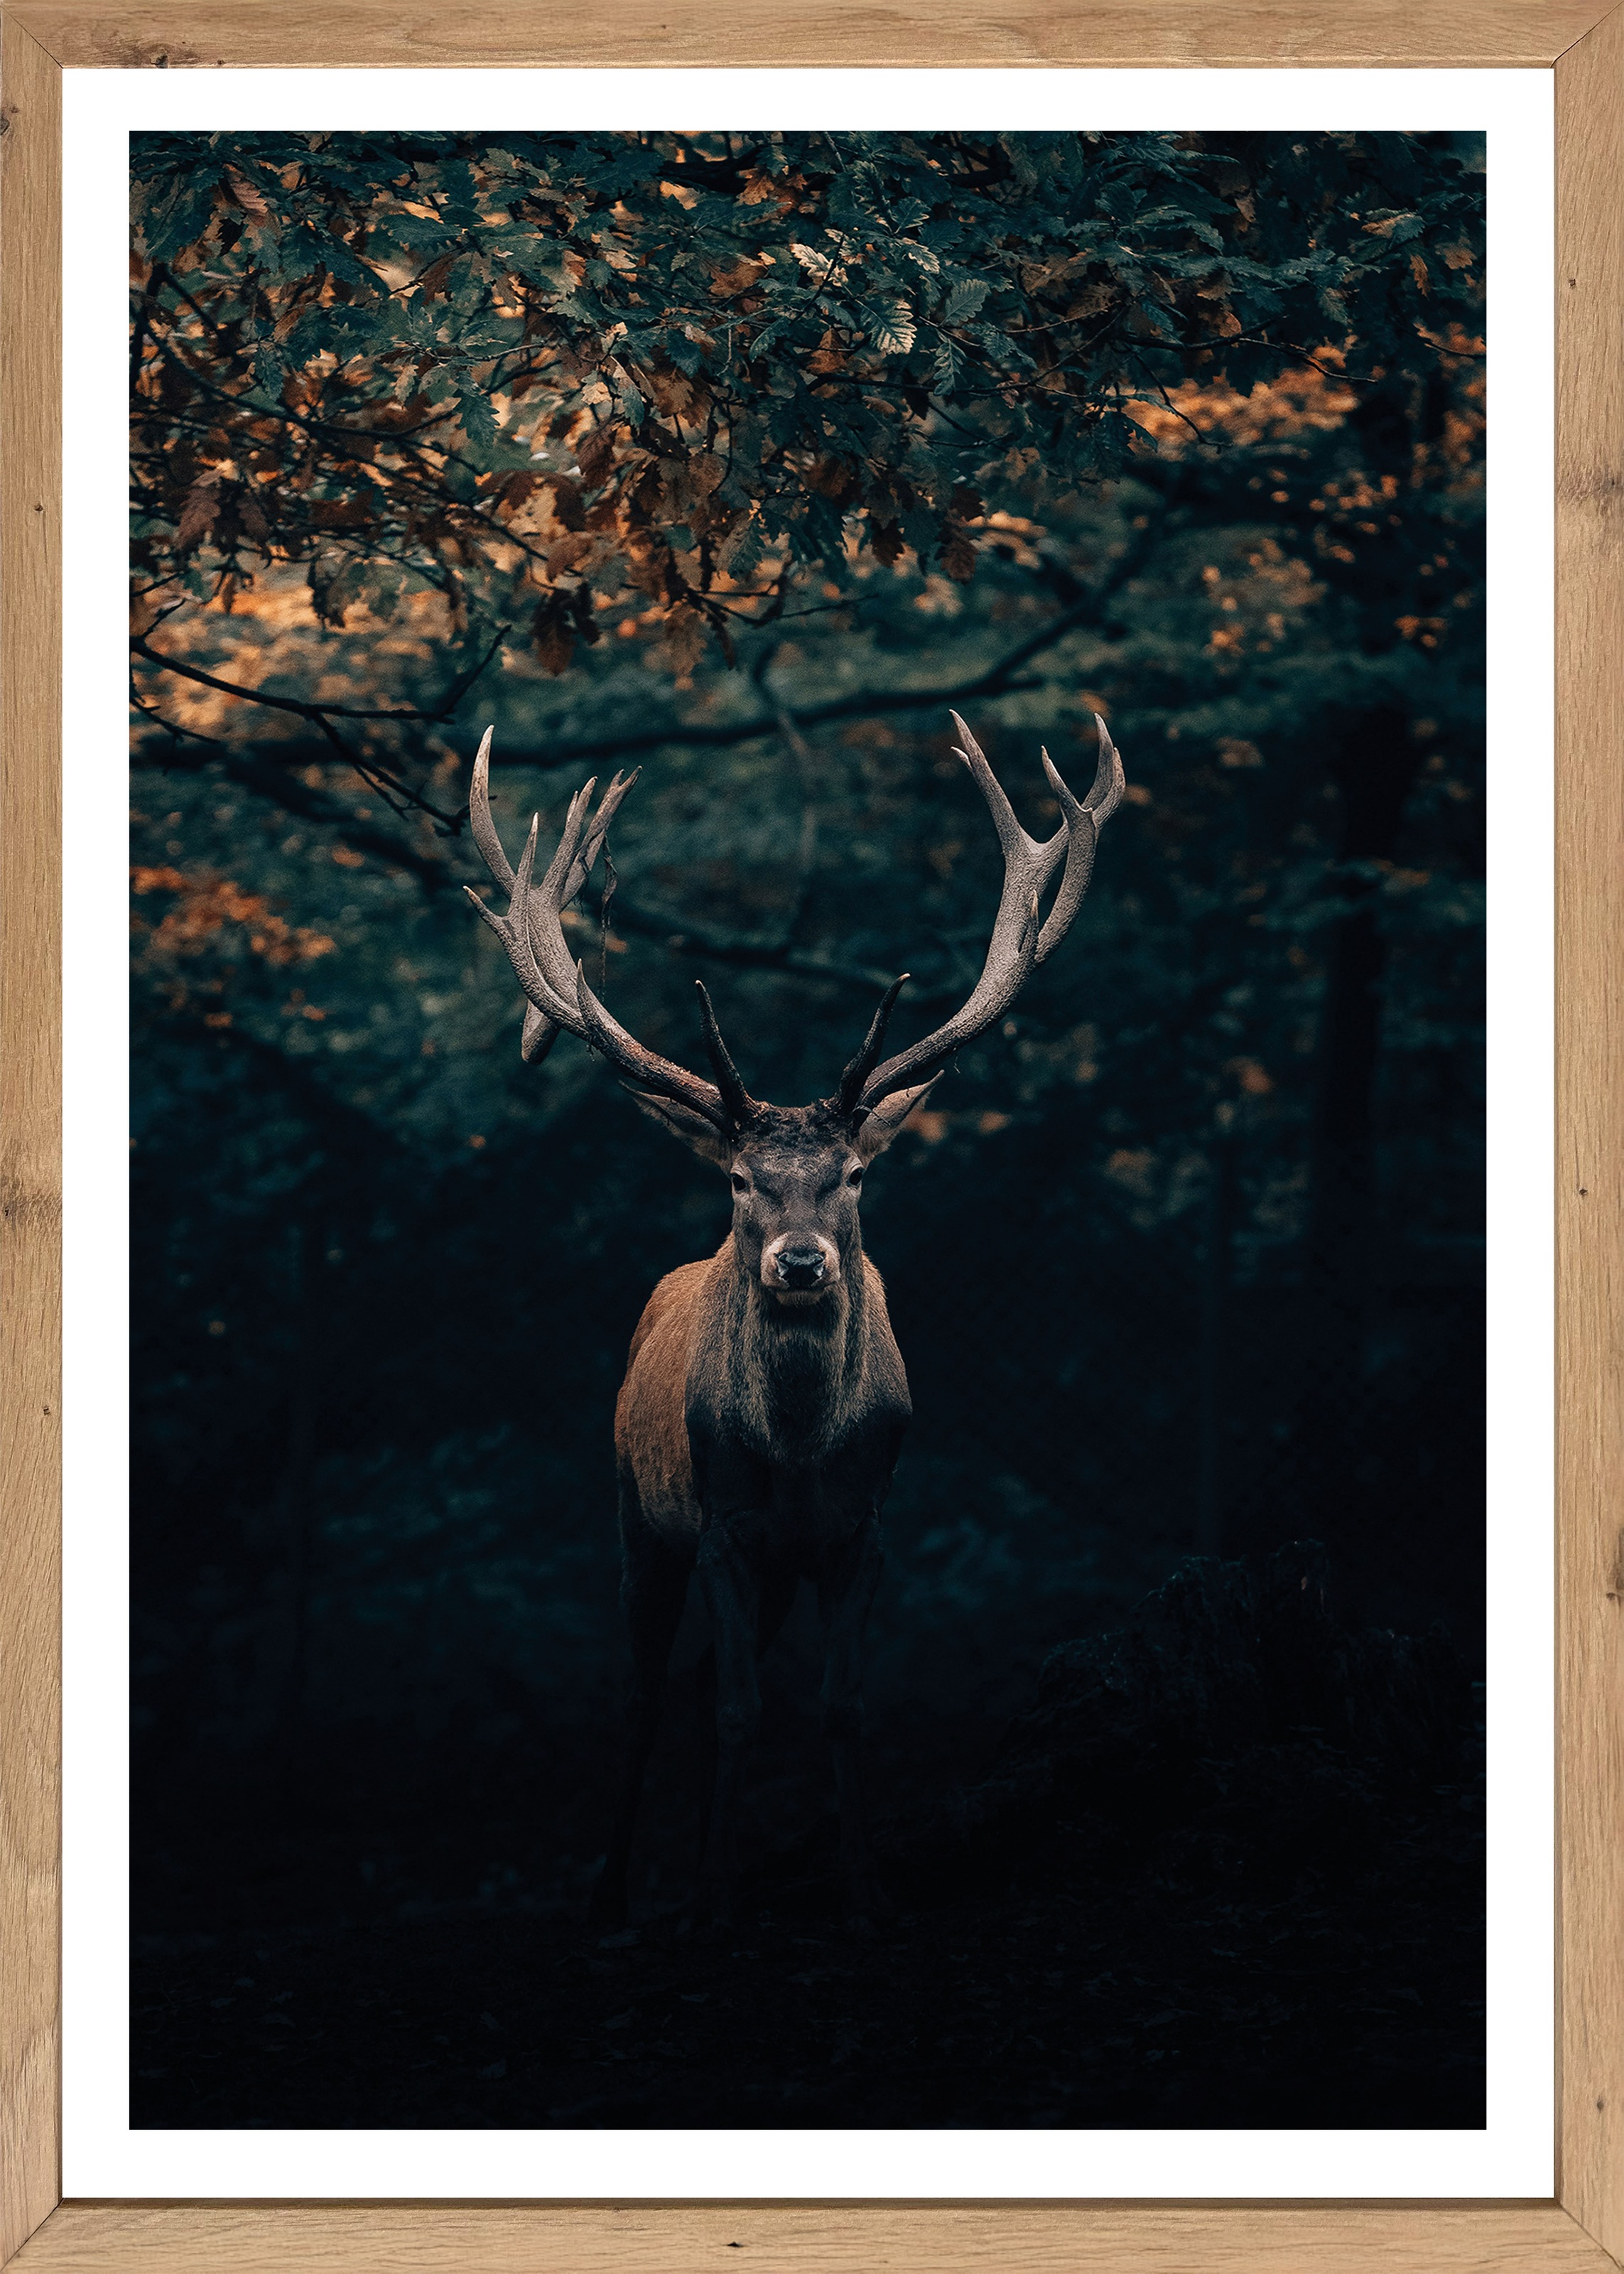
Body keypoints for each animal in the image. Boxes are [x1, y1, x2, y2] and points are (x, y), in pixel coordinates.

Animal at [462, 708, 1124, 1929]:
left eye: (854, 1176)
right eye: (738, 1180)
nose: (800, 1261)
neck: (804, 1449)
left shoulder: (863, 1529)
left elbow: (835, 1705)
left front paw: (860, 1886)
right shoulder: (724, 1524)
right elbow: (736, 1709)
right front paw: (712, 1895)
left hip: (764, 1567)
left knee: (703, 1685)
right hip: (635, 1512)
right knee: (645, 1691)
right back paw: (615, 1890)